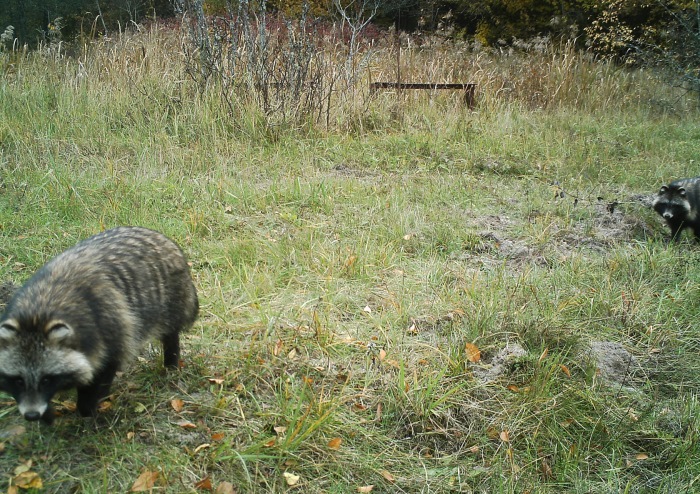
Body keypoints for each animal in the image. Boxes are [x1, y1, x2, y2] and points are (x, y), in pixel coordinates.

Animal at [0, 226, 200, 422]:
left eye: (46, 380)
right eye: (18, 380)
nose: (31, 415)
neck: (39, 311)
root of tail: (156, 234)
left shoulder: (110, 329)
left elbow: (103, 371)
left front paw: (89, 407)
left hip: (172, 298)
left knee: (170, 332)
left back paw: (171, 359)